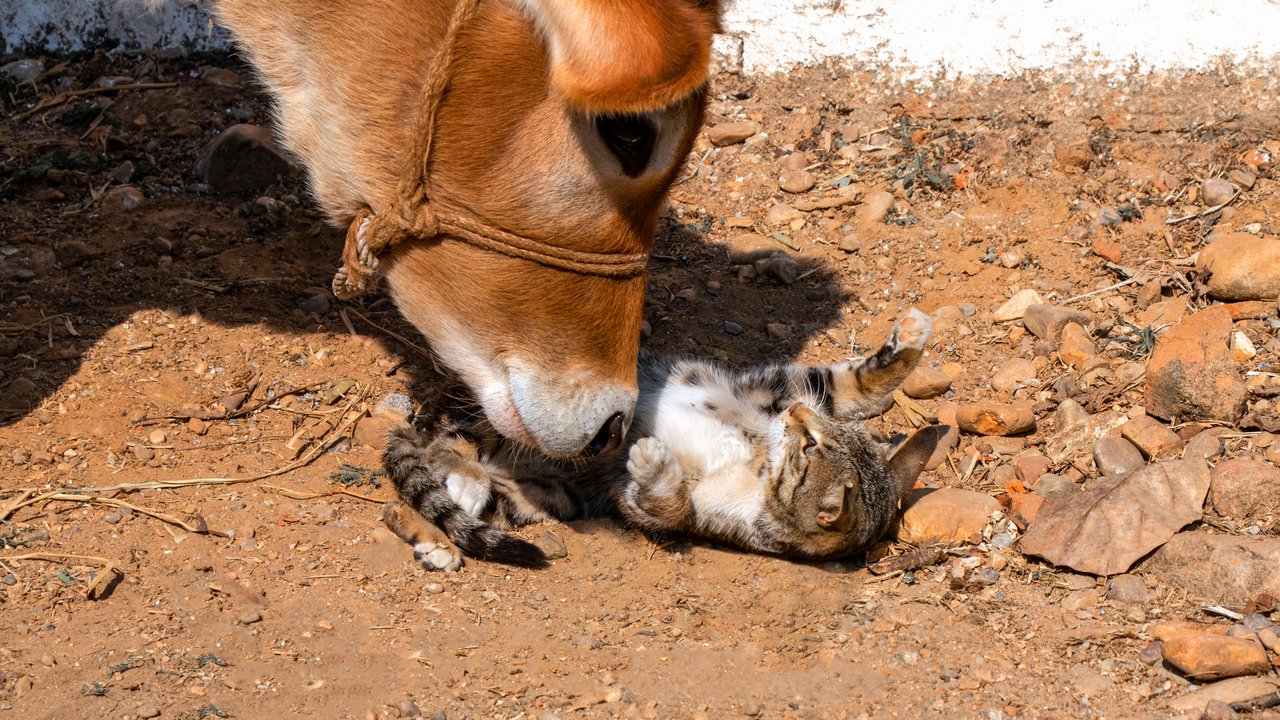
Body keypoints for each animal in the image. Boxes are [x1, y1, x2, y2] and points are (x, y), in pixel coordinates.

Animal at [384, 304, 947, 568]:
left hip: (547, 495)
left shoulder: (706, 518)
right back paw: (460, 481)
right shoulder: (776, 388)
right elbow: (847, 381)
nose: (798, 415)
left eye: (811, 447)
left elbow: (668, 507)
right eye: (820, 434)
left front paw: (654, 464)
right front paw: (911, 338)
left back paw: (452, 515)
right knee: (444, 442)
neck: (758, 454)